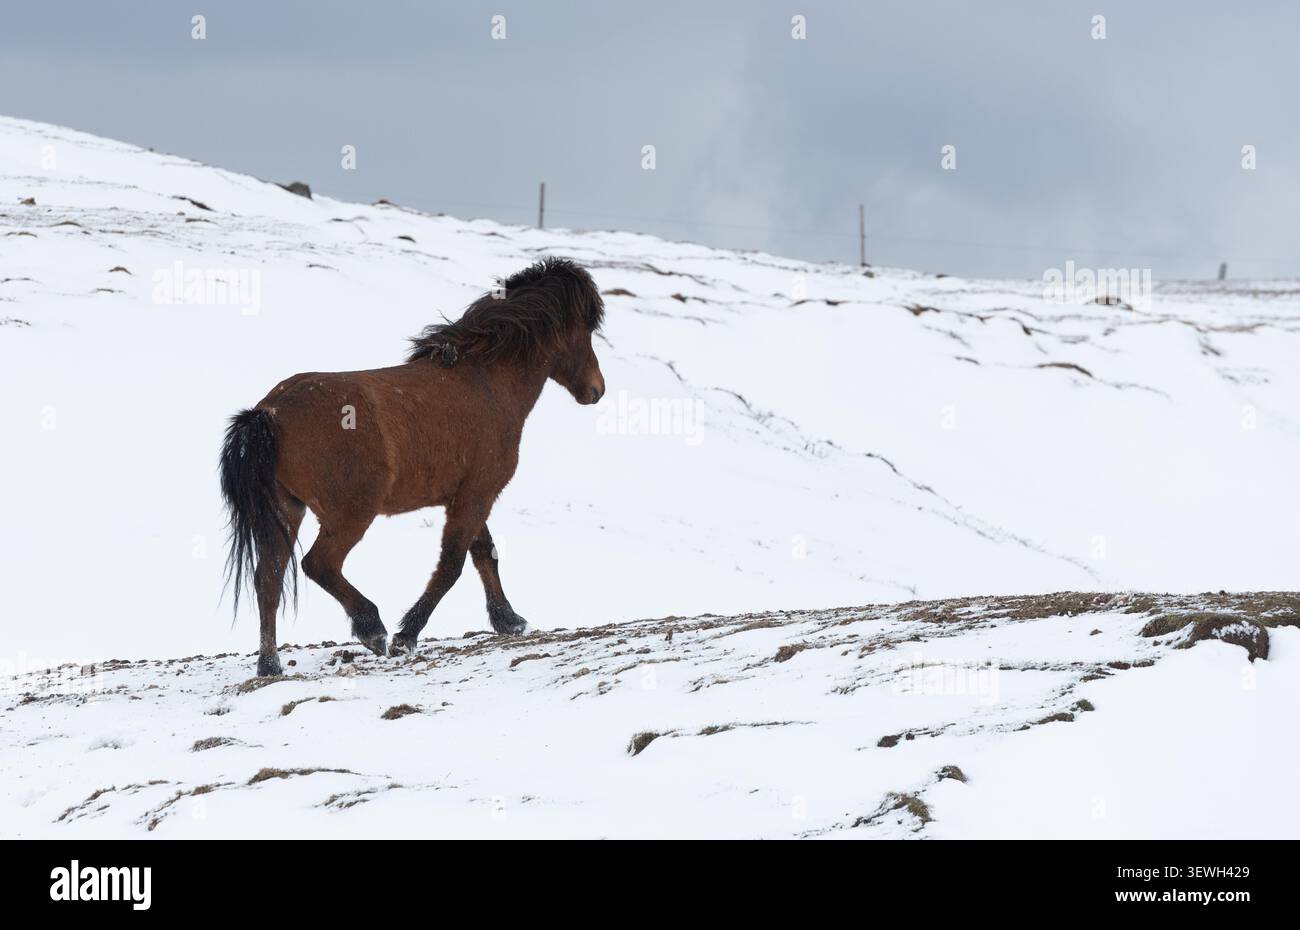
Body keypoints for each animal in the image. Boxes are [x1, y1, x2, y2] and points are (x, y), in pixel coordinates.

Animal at [218, 257, 606, 676]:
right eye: (586, 331)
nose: (597, 389)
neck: (487, 383)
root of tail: (269, 412)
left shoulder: (468, 496)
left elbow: (484, 553)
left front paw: (509, 619)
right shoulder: (475, 496)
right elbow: (453, 564)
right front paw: (406, 636)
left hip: (286, 509)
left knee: (268, 579)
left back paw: (270, 664)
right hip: (350, 515)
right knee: (318, 565)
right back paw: (372, 628)